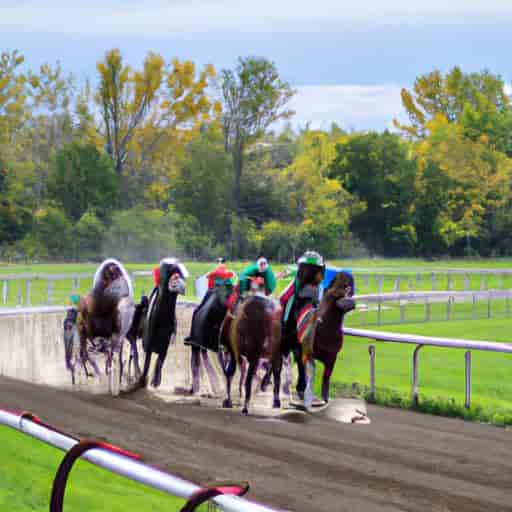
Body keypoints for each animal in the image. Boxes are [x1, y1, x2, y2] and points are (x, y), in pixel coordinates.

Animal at [221, 278, 282, 414]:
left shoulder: (238, 352)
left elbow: (234, 373)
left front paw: (230, 400)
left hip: (253, 353)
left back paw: (246, 404)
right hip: (270, 352)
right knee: (274, 370)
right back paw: (273, 399)